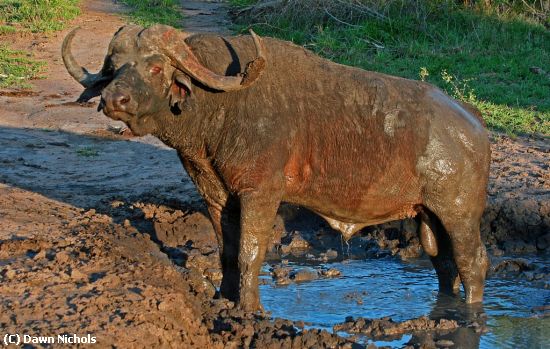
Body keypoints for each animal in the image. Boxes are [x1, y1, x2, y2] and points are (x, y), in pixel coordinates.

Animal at [61, 25, 492, 310]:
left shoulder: (260, 193)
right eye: (115, 66)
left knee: (473, 263)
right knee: (444, 262)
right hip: (428, 217)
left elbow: (250, 252)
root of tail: (472, 123)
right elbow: (227, 250)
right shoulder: (215, 196)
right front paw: (224, 298)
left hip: (459, 214)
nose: (114, 100)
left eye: (154, 67)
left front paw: (249, 310)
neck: (222, 107)